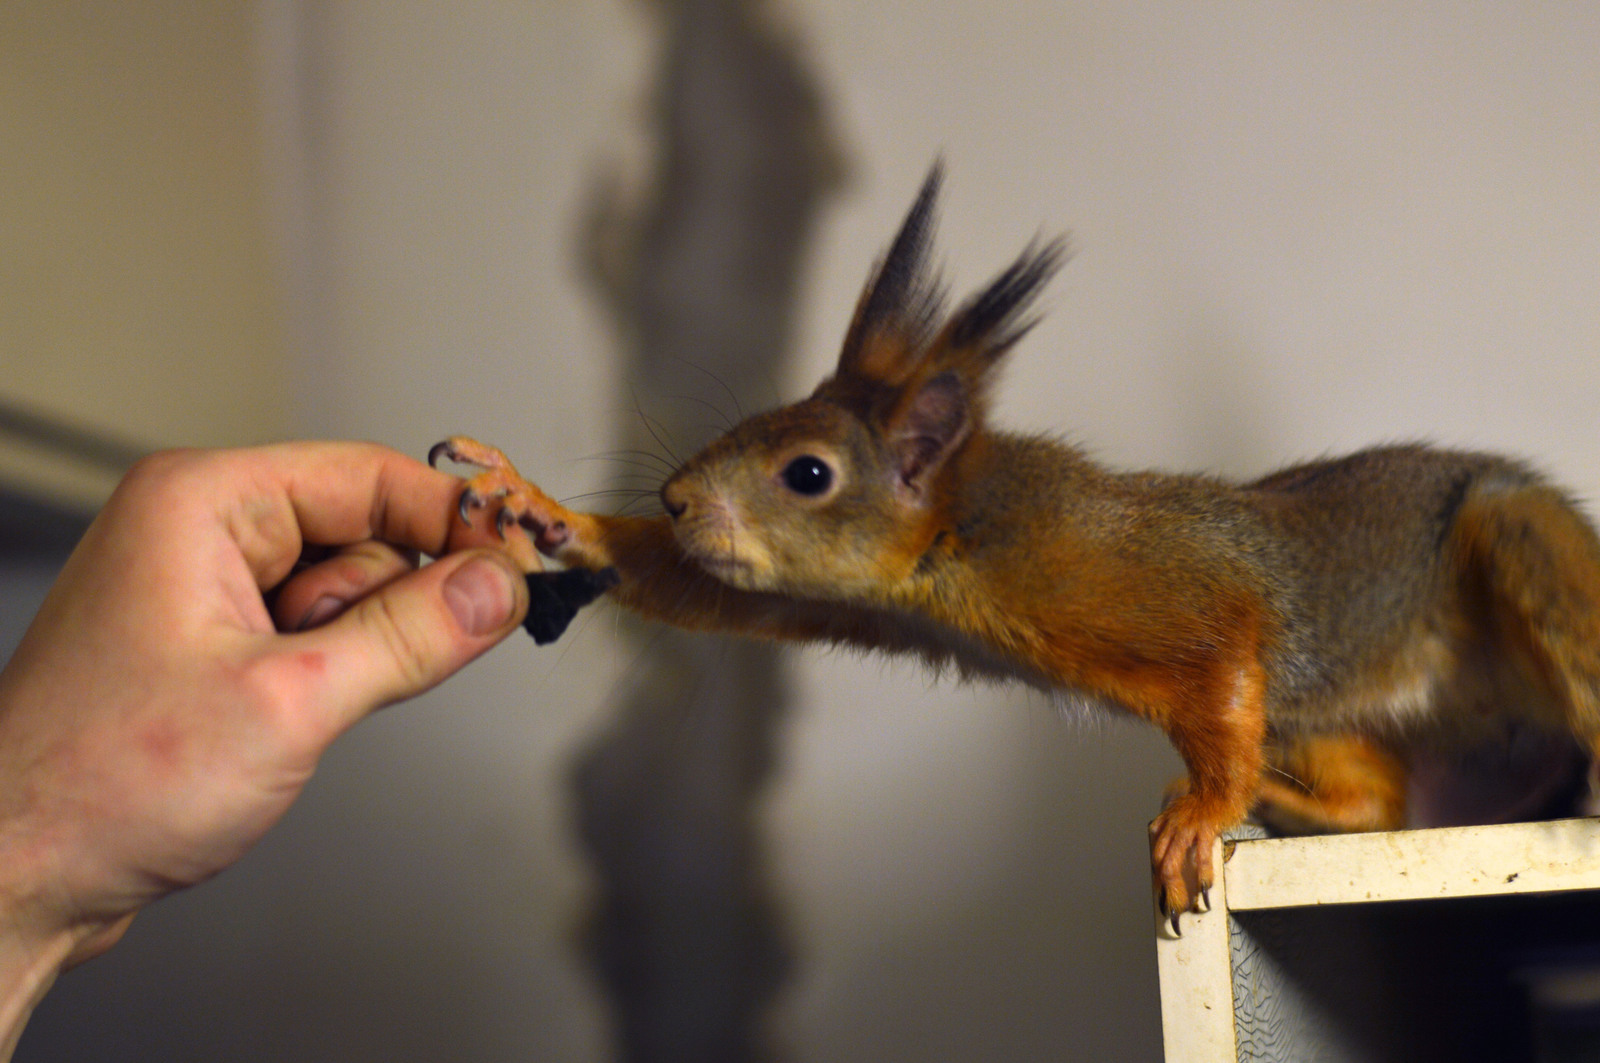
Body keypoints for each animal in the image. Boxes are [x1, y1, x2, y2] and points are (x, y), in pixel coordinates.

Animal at [432, 160, 1600, 928]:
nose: (676, 501)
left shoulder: (1158, 588)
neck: (970, 532)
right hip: (1328, 721)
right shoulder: (843, 595)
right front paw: (544, 511)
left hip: (1529, 561)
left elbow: (1225, 667)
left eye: (807, 472)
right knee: (1376, 800)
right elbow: (704, 590)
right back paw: (1293, 801)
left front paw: (1201, 814)